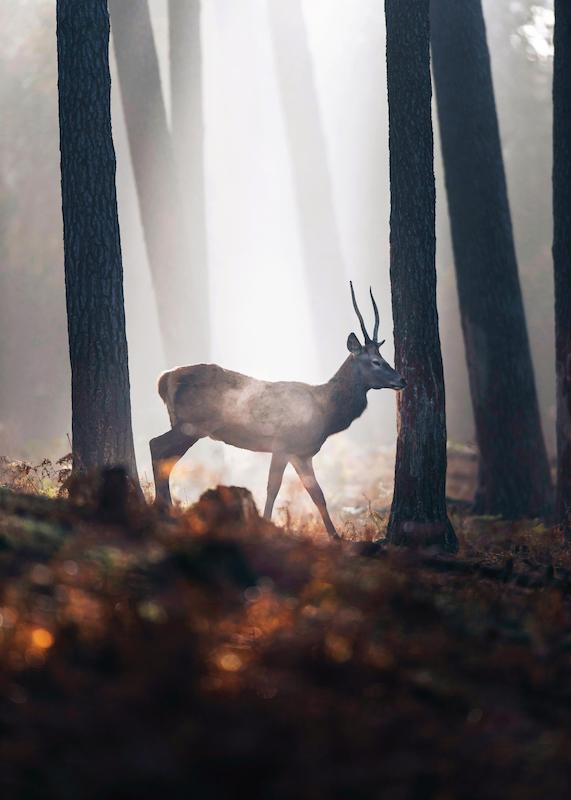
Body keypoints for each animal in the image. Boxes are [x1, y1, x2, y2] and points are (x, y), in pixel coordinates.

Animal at [150, 283, 407, 539]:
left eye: (383, 357)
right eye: (376, 361)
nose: (401, 379)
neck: (325, 413)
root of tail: (164, 379)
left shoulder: (301, 453)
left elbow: (318, 494)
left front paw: (335, 537)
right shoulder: (283, 443)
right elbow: (273, 487)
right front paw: (265, 526)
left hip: (186, 425)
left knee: (166, 458)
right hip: (192, 423)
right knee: (156, 445)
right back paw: (163, 510)